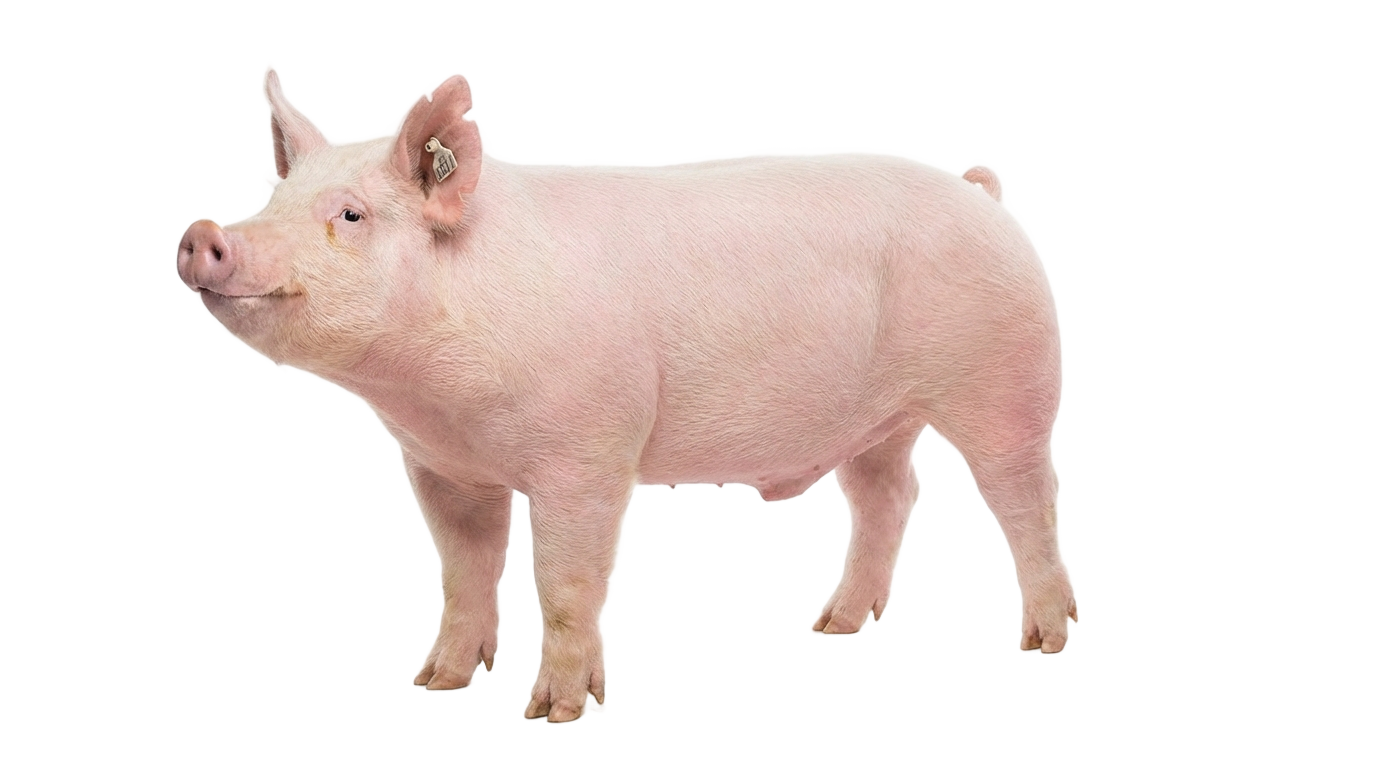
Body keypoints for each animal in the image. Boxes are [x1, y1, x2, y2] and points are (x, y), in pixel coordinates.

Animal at [177, 72, 1076, 722]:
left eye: (351, 214)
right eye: (273, 203)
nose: (204, 235)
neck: (434, 400)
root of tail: (979, 192)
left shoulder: (587, 453)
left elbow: (565, 586)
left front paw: (557, 715)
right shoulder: (445, 470)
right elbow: (462, 574)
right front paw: (437, 684)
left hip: (1006, 376)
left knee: (1027, 503)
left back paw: (1050, 643)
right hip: (878, 422)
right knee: (890, 497)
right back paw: (834, 628)